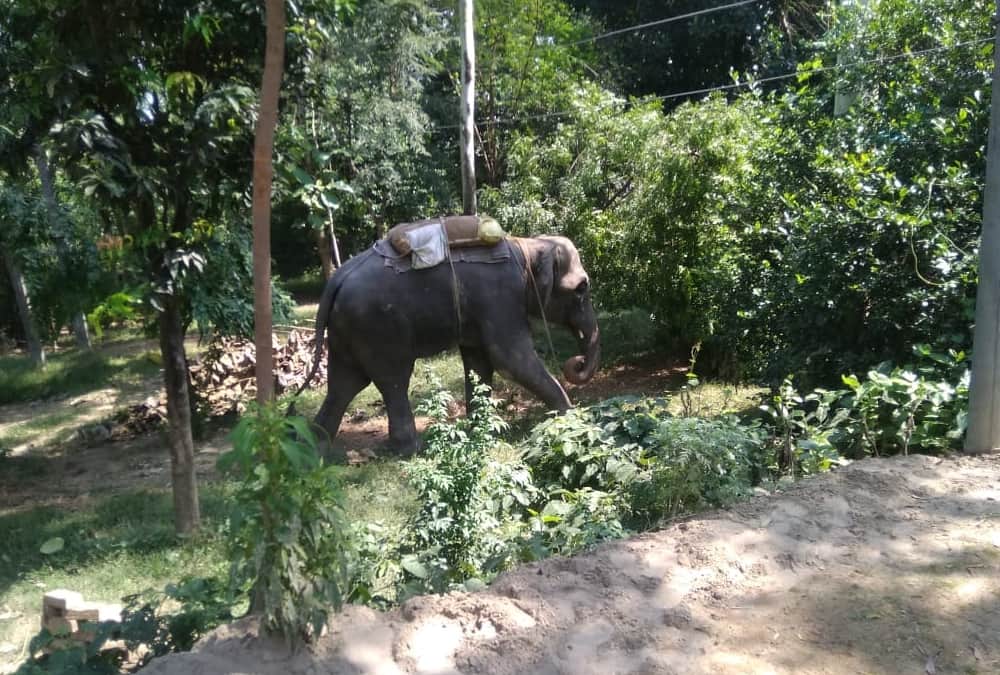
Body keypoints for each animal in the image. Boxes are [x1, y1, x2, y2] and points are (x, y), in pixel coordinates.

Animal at [300, 233, 601, 455]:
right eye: (582, 288)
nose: (577, 362)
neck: (528, 245)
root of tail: (335, 281)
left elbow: (479, 363)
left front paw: (481, 430)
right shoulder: (500, 297)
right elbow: (510, 359)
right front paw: (572, 419)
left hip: (346, 330)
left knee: (344, 384)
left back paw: (317, 450)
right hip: (377, 326)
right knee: (393, 380)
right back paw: (411, 450)